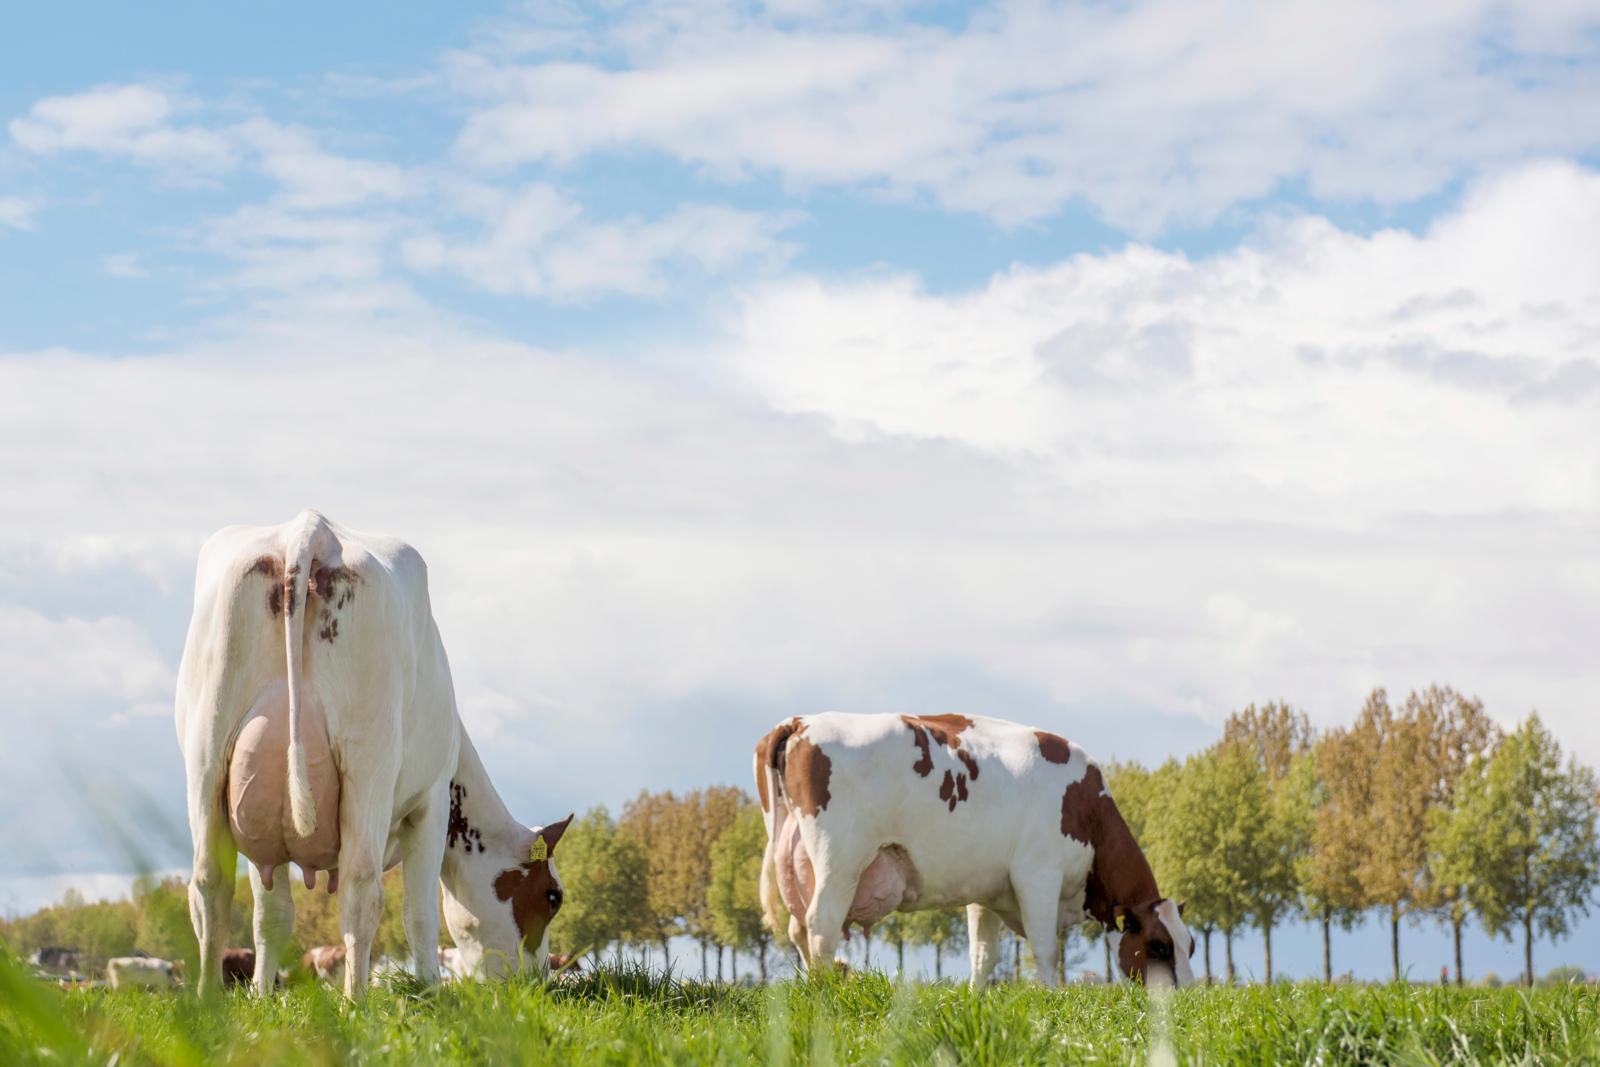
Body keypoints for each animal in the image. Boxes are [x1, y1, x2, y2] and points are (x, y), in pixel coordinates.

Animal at [177, 511, 576, 998]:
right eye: (552, 896)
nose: (537, 983)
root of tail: (310, 528)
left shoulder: (263, 827)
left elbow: (271, 917)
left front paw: (261, 995)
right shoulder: (432, 801)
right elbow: (421, 913)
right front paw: (431, 991)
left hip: (208, 757)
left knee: (209, 883)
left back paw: (207, 999)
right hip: (368, 764)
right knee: (360, 885)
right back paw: (355, 999)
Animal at [755, 713, 1196, 991]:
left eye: (1190, 945)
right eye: (1158, 945)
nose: (1187, 997)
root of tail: (802, 721)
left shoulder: (986, 893)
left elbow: (983, 955)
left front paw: (976, 999)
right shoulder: (1037, 874)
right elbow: (1046, 949)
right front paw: (1052, 999)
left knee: (797, 927)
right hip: (840, 859)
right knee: (821, 924)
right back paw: (827, 993)